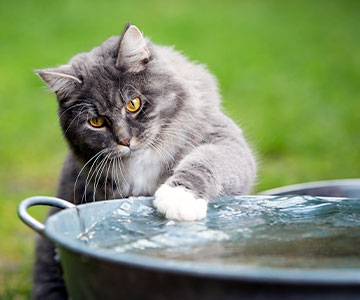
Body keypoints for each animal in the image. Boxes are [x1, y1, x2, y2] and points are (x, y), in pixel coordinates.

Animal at [33, 23, 256, 300]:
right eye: (96, 122)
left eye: (133, 104)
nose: (125, 140)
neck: (141, 159)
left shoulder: (224, 140)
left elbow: (205, 162)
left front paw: (178, 198)